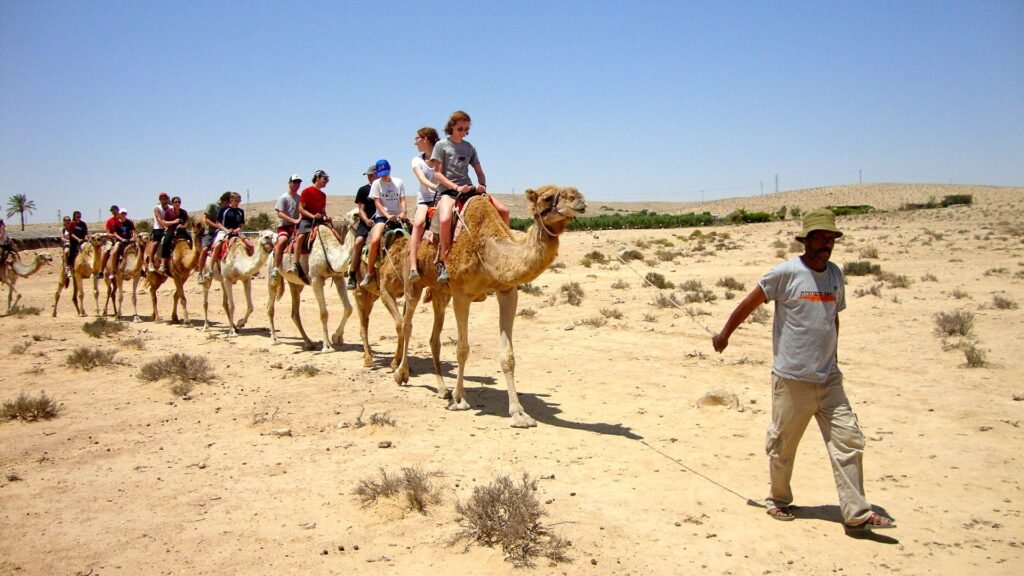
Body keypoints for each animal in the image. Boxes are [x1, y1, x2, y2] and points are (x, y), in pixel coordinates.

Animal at [267, 217, 354, 352]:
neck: (328, 251)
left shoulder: (338, 276)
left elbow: (348, 308)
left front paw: (336, 337)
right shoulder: (316, 280)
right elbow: (324, 313)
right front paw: (327, 346)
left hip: (295, 284)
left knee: (295, 313)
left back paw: (308, 342)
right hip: (272, 274)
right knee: (271, 307)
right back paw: (275, 339)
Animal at [381, 186, 587, 428]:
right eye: (546, 198)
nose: (579, 200)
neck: (489, 250)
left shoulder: (507, 291)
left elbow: (508, 356)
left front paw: (519, 413)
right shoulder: (462, 295)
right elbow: (462, 349)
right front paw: (460, 400)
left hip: (441, 292)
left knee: (434, 338)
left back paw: (443, 389)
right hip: (413, 282)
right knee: (407, 324)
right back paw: (401, 374)